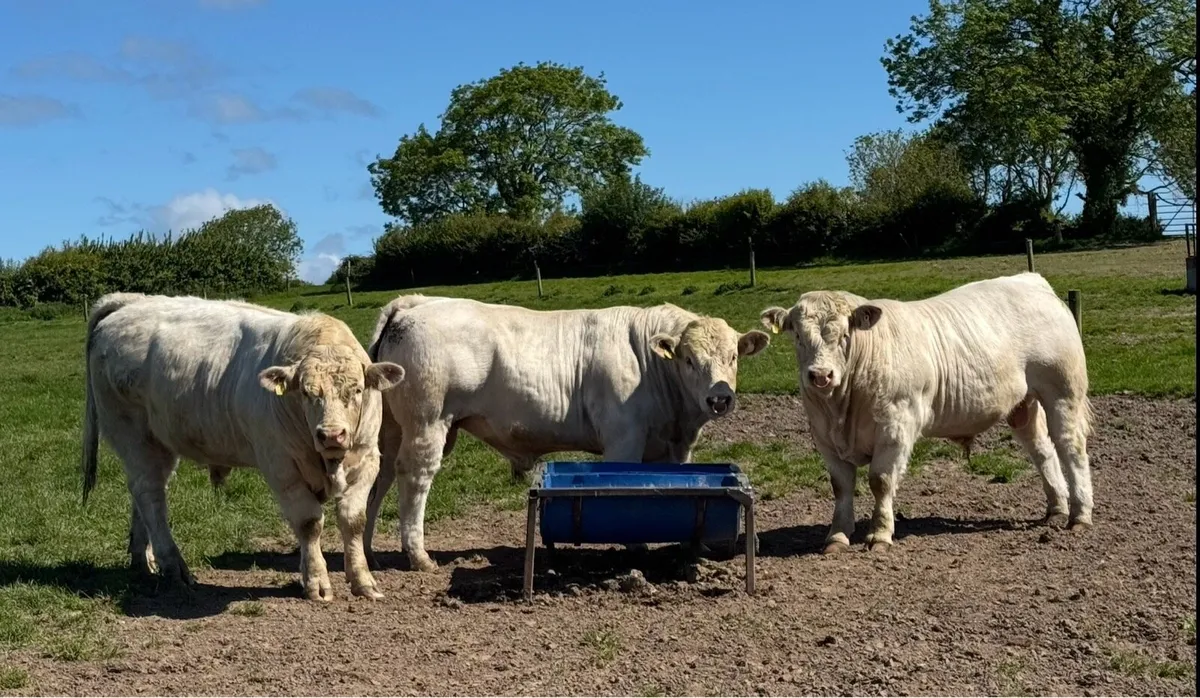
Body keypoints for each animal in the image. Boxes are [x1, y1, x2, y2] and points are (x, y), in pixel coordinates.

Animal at [81, 293, 405, 601]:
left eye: (357, 390)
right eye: (306, 392)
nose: (331, 435)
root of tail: (131, 302)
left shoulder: (368, 459)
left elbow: (353, 520)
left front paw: (363, 581)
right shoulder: (281, 466)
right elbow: (309, 522)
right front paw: (317, 583)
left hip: (159, 442)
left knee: (145, 492)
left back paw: (143, 560)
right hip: (133, 434)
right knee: (150, 495)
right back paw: (174, 567)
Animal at [363, 295, 771, 572]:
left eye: (734, 357)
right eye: (688, 359)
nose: (719, 398)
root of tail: (416, 303)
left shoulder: (676, 446)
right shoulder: (624, 439)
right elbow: (627, 487)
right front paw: (635, 545)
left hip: (392, 428)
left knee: (380, 476)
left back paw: (367, 551)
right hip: (428, 423)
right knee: (414, 478)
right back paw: (417, 554)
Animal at [759, 272, 1093, 554]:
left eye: (844, 335)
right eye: (798, 336)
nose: (820, 375)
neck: (842, 408)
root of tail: (1031, 280)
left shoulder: (896, 425)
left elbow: (880, 481)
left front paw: (879, 535)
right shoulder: (823, 435)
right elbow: (841, 486)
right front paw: (837, 536)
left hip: (1063, 392)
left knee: (1071, 448)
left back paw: (1079, 515)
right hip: (1023, 405)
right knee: (1043, 451)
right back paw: (1056, 509)